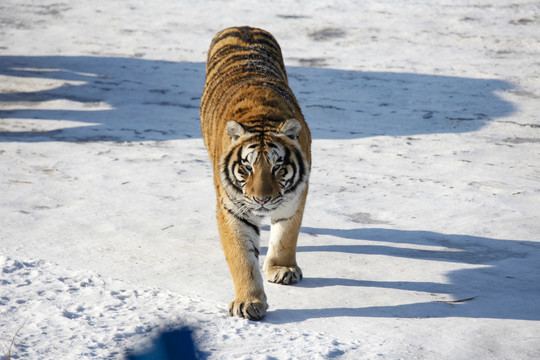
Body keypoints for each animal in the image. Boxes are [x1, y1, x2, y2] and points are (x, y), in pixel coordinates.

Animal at [200, 27, 312, 320]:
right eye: (247, 167)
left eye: (278, 167)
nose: (262, 200)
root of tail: (244, 27)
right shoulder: (232, 210)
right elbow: (242, 258)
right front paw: (248, 302)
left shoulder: (295, 198)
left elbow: (286, 235)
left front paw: (283, 269)